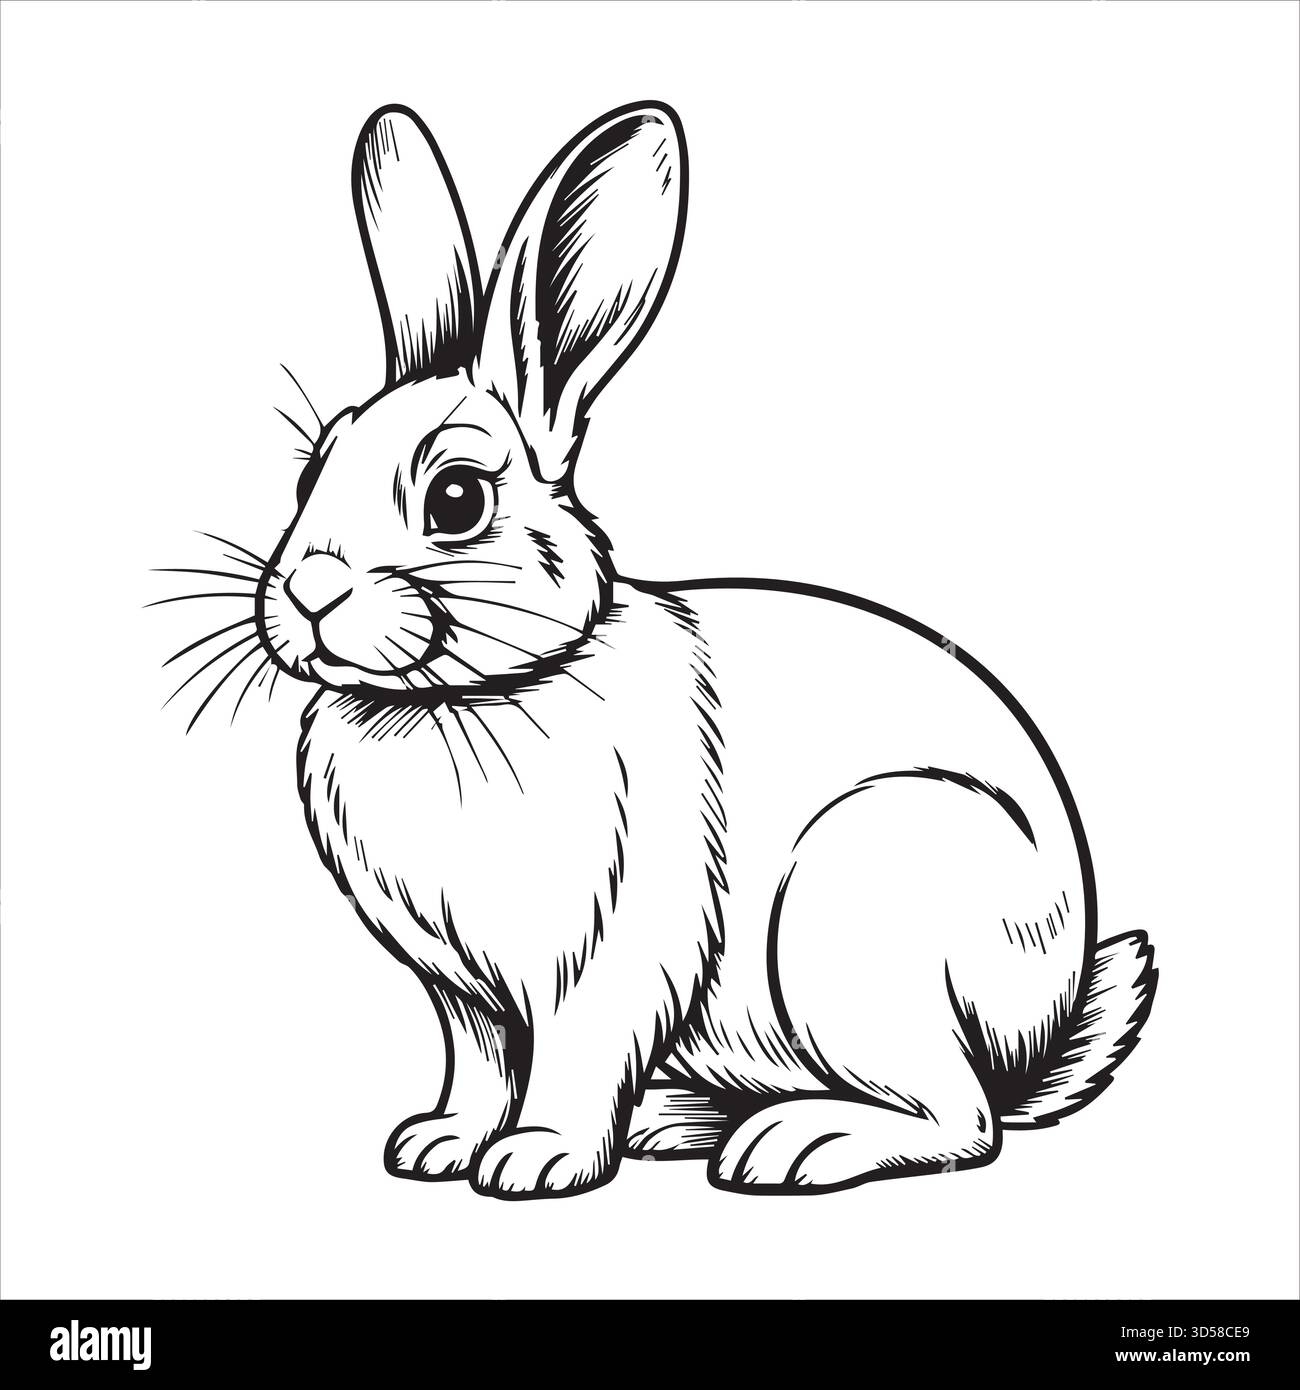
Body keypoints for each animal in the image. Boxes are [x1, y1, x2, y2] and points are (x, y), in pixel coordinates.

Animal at [239, 101, 1156, 1198]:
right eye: (310, 473)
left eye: (456, 497)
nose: (308, 590)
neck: (471, 693)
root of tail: (1046, 1019)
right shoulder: (465, 992)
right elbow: (481, 1065)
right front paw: (438, 1144)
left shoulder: (613, 952)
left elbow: (578, 1056)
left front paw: (536, 1161)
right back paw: (677, 1124)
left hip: (852, 928)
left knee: (963, 1119)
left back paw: (793, 1144)